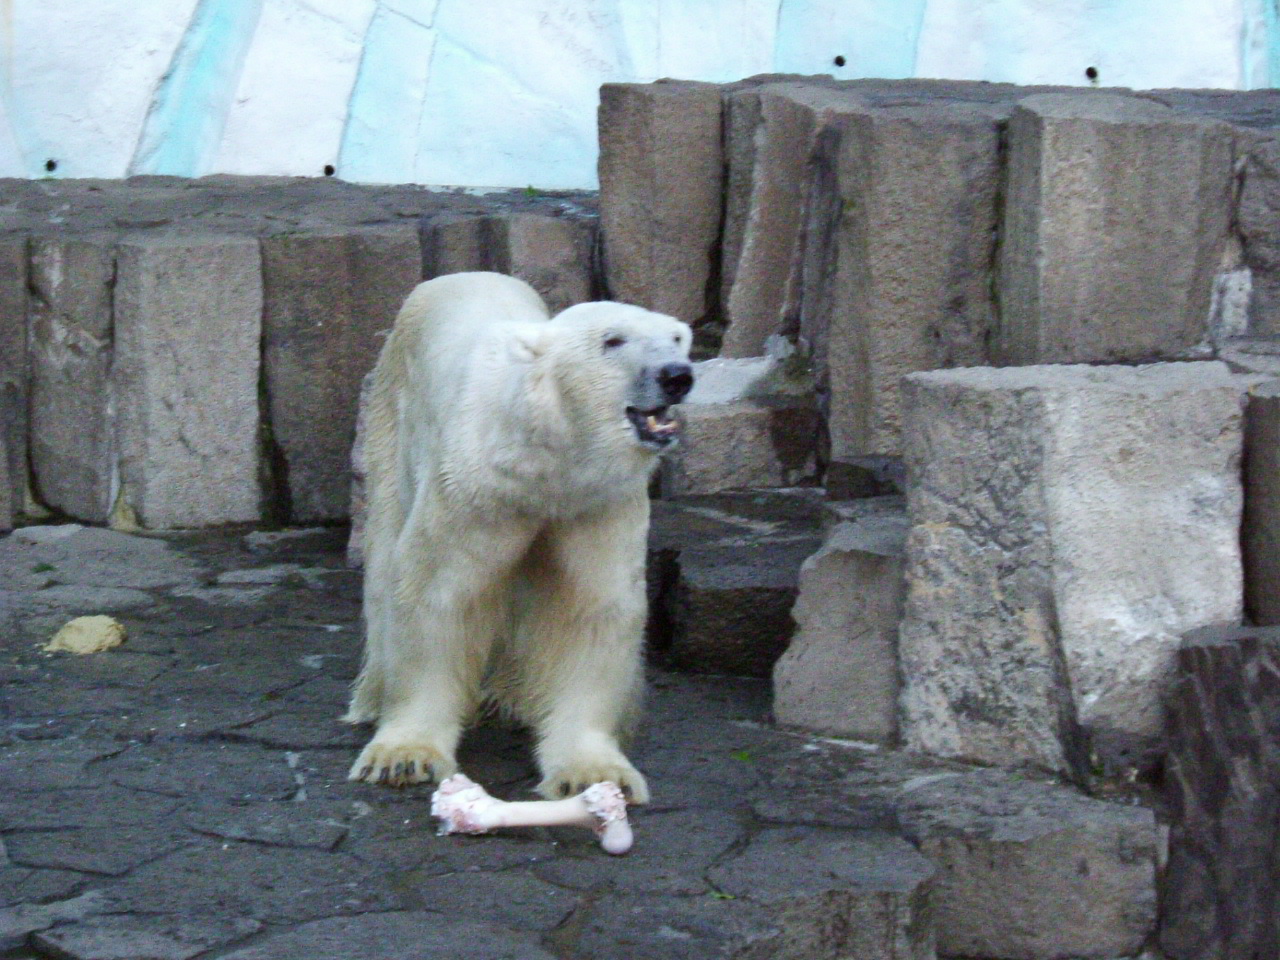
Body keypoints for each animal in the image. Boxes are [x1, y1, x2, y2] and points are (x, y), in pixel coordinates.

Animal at [345, 271, 696, 803]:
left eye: (677, 338)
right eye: (612, 340)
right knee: (385, 557)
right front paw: (405, 756)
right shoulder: (473, 488)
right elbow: (438, 596)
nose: (678, 375)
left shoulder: (595, 502)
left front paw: (593, 772)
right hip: (391, 419)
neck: (545, 463)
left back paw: (513, 697)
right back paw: (371, 697)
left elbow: (589, 609)